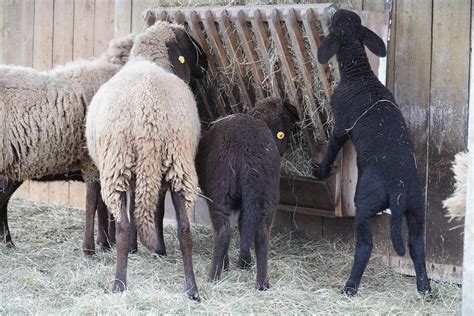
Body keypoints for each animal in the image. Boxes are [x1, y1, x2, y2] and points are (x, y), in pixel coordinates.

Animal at [0, 34, 135, 253]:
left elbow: (103, 206)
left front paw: (106, 243)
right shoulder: (93, 163)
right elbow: (98, 205)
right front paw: (100, 245)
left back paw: (8, 242)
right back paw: (8, 241)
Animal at [86, 21, 205, 298]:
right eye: (189, 40)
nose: (206, 61)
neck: (148, 59)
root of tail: (148, 115)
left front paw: (143, 248)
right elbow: (153, 210)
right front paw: (154, 248)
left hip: (119, 167)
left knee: (123, 226)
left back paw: (119, 284)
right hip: (178, 165)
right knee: (185, 228)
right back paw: (192, 289)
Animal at [312, 9, 432, 296]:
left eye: (336, 23)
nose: (336, 10)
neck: (359, 74)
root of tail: (398, 189)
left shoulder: (341, 125)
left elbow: (332, 148)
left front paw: (320, 171)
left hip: (365, 203)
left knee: (365, 246)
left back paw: (349, 287)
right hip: (416, 207)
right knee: (417, 245)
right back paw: (424, 288)